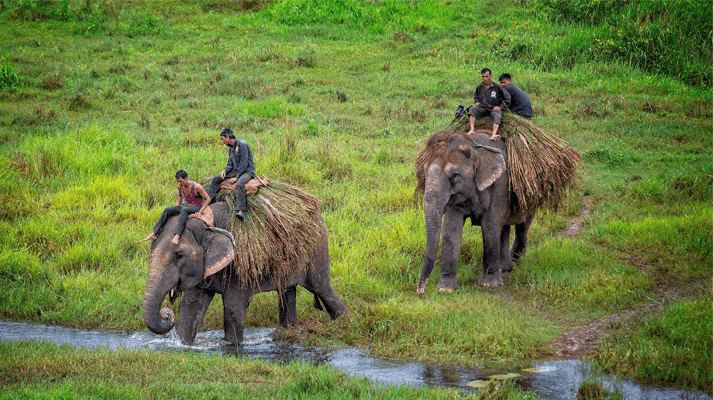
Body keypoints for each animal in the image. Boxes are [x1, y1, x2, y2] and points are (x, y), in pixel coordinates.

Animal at [140, 202, 346, 346]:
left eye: (179, 255)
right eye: (152, 249)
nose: (166, 313)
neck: (208, 224)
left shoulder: (239, 264)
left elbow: (232, 306)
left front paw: (233, 345)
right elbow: (190, 307)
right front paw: (183, 345)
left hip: (317, 247)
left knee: (321, 287)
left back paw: (343, 324)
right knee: (287, 292)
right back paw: (289, 332)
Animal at [418, 132, 536, 294]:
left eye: (455, 176)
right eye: (424, 171)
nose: (421, 291)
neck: (475, 146)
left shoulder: (500, 185)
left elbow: (490, 228)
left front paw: (489, 284)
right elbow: (450, 230)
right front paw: (445, 289)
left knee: (522, 224)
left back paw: (515, 260)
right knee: (504, 227)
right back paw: (504, 268)